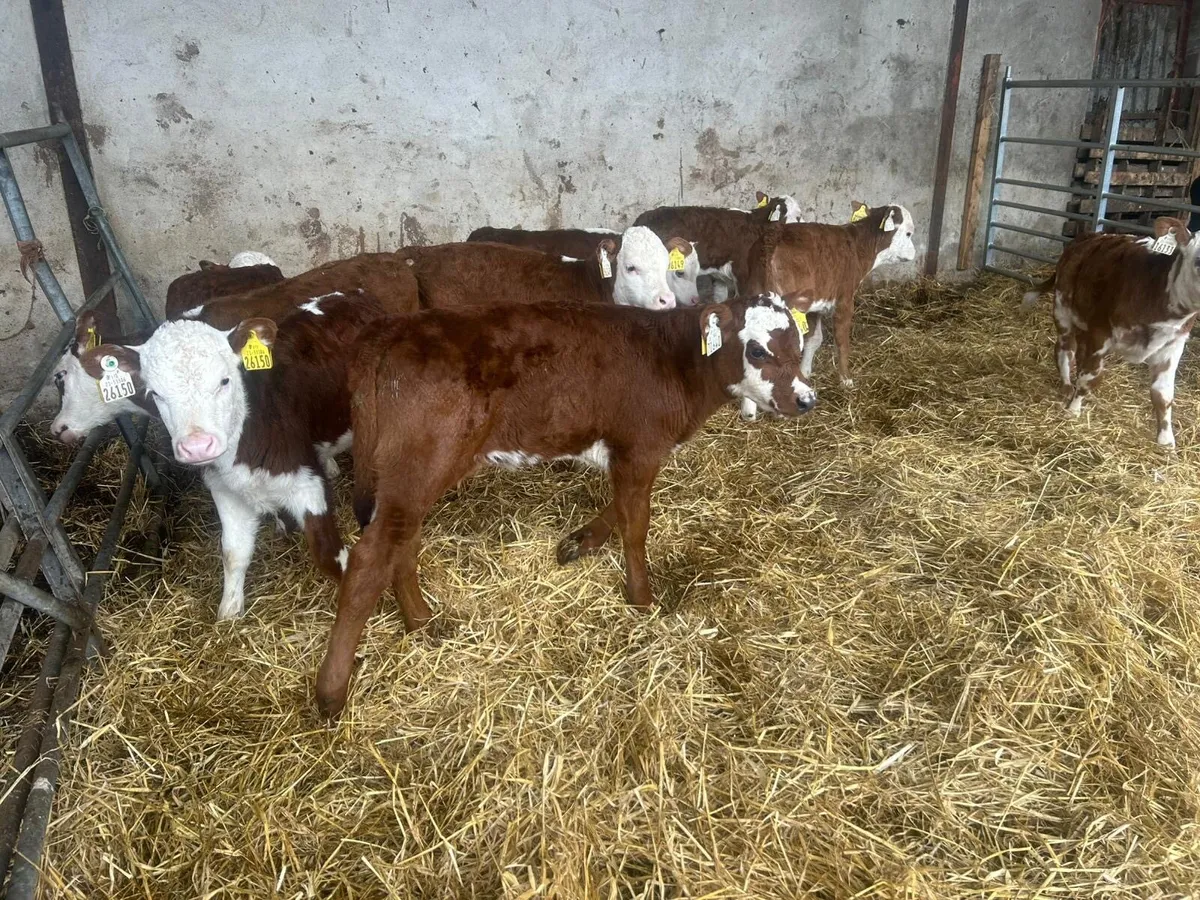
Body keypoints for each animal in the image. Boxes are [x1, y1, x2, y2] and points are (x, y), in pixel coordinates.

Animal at [81, 291, 388, 620]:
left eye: (225, 380)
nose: (198, 446)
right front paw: (229, 612)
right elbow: (233, 552)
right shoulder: (225, 489)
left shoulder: (306, 482)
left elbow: (328, 554)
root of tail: (347, 296)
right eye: (155, 394)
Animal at [313, 292, 817, 717]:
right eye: (757, 350)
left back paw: (421, 621)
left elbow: (620, 507)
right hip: (420, 463)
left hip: (410, 475)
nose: (806, 399)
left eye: (799, 342)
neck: (675, 360)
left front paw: (583, 541)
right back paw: (331, 692)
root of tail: (391, 328)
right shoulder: (639, 447)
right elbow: (636, 524)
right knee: (369, 558)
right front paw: (642, 599)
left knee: (400, 543)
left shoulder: (631, 453)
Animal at [741, 202, 916, 412]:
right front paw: (846, 380)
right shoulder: (845, 300)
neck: (858, 246)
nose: (914, 254)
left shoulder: (815, 305)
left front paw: (805, 372)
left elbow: (814, 339)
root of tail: (771, 239)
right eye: (909, 233)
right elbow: (842, 342)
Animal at [1023, 217, 1200, 446]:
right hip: (1063, 310)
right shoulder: (1101, 331)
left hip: (1084, 322)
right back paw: (1066, 386)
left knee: (1079, 353)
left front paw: (1166, 441)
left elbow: (1163, 393)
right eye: (1199, 261)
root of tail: (1090, 235)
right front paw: (1073, 411)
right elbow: (1091, 377)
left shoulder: (1174, 344)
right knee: (1065, 349)